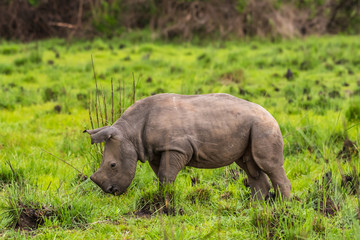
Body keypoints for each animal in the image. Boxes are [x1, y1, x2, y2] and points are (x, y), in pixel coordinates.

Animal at [85, 93, 292, 200]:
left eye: (113, 165)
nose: (110, 191)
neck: (130, 132)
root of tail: (271, 114)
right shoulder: (155, 151)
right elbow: (162, 175)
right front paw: (164, 198)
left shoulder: (176, 147)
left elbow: (166, 174)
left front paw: (165, 204)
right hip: (252, 127)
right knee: (249, 165)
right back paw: (256, 207)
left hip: (263, 126)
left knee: (268, 165)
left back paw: (283, 208)